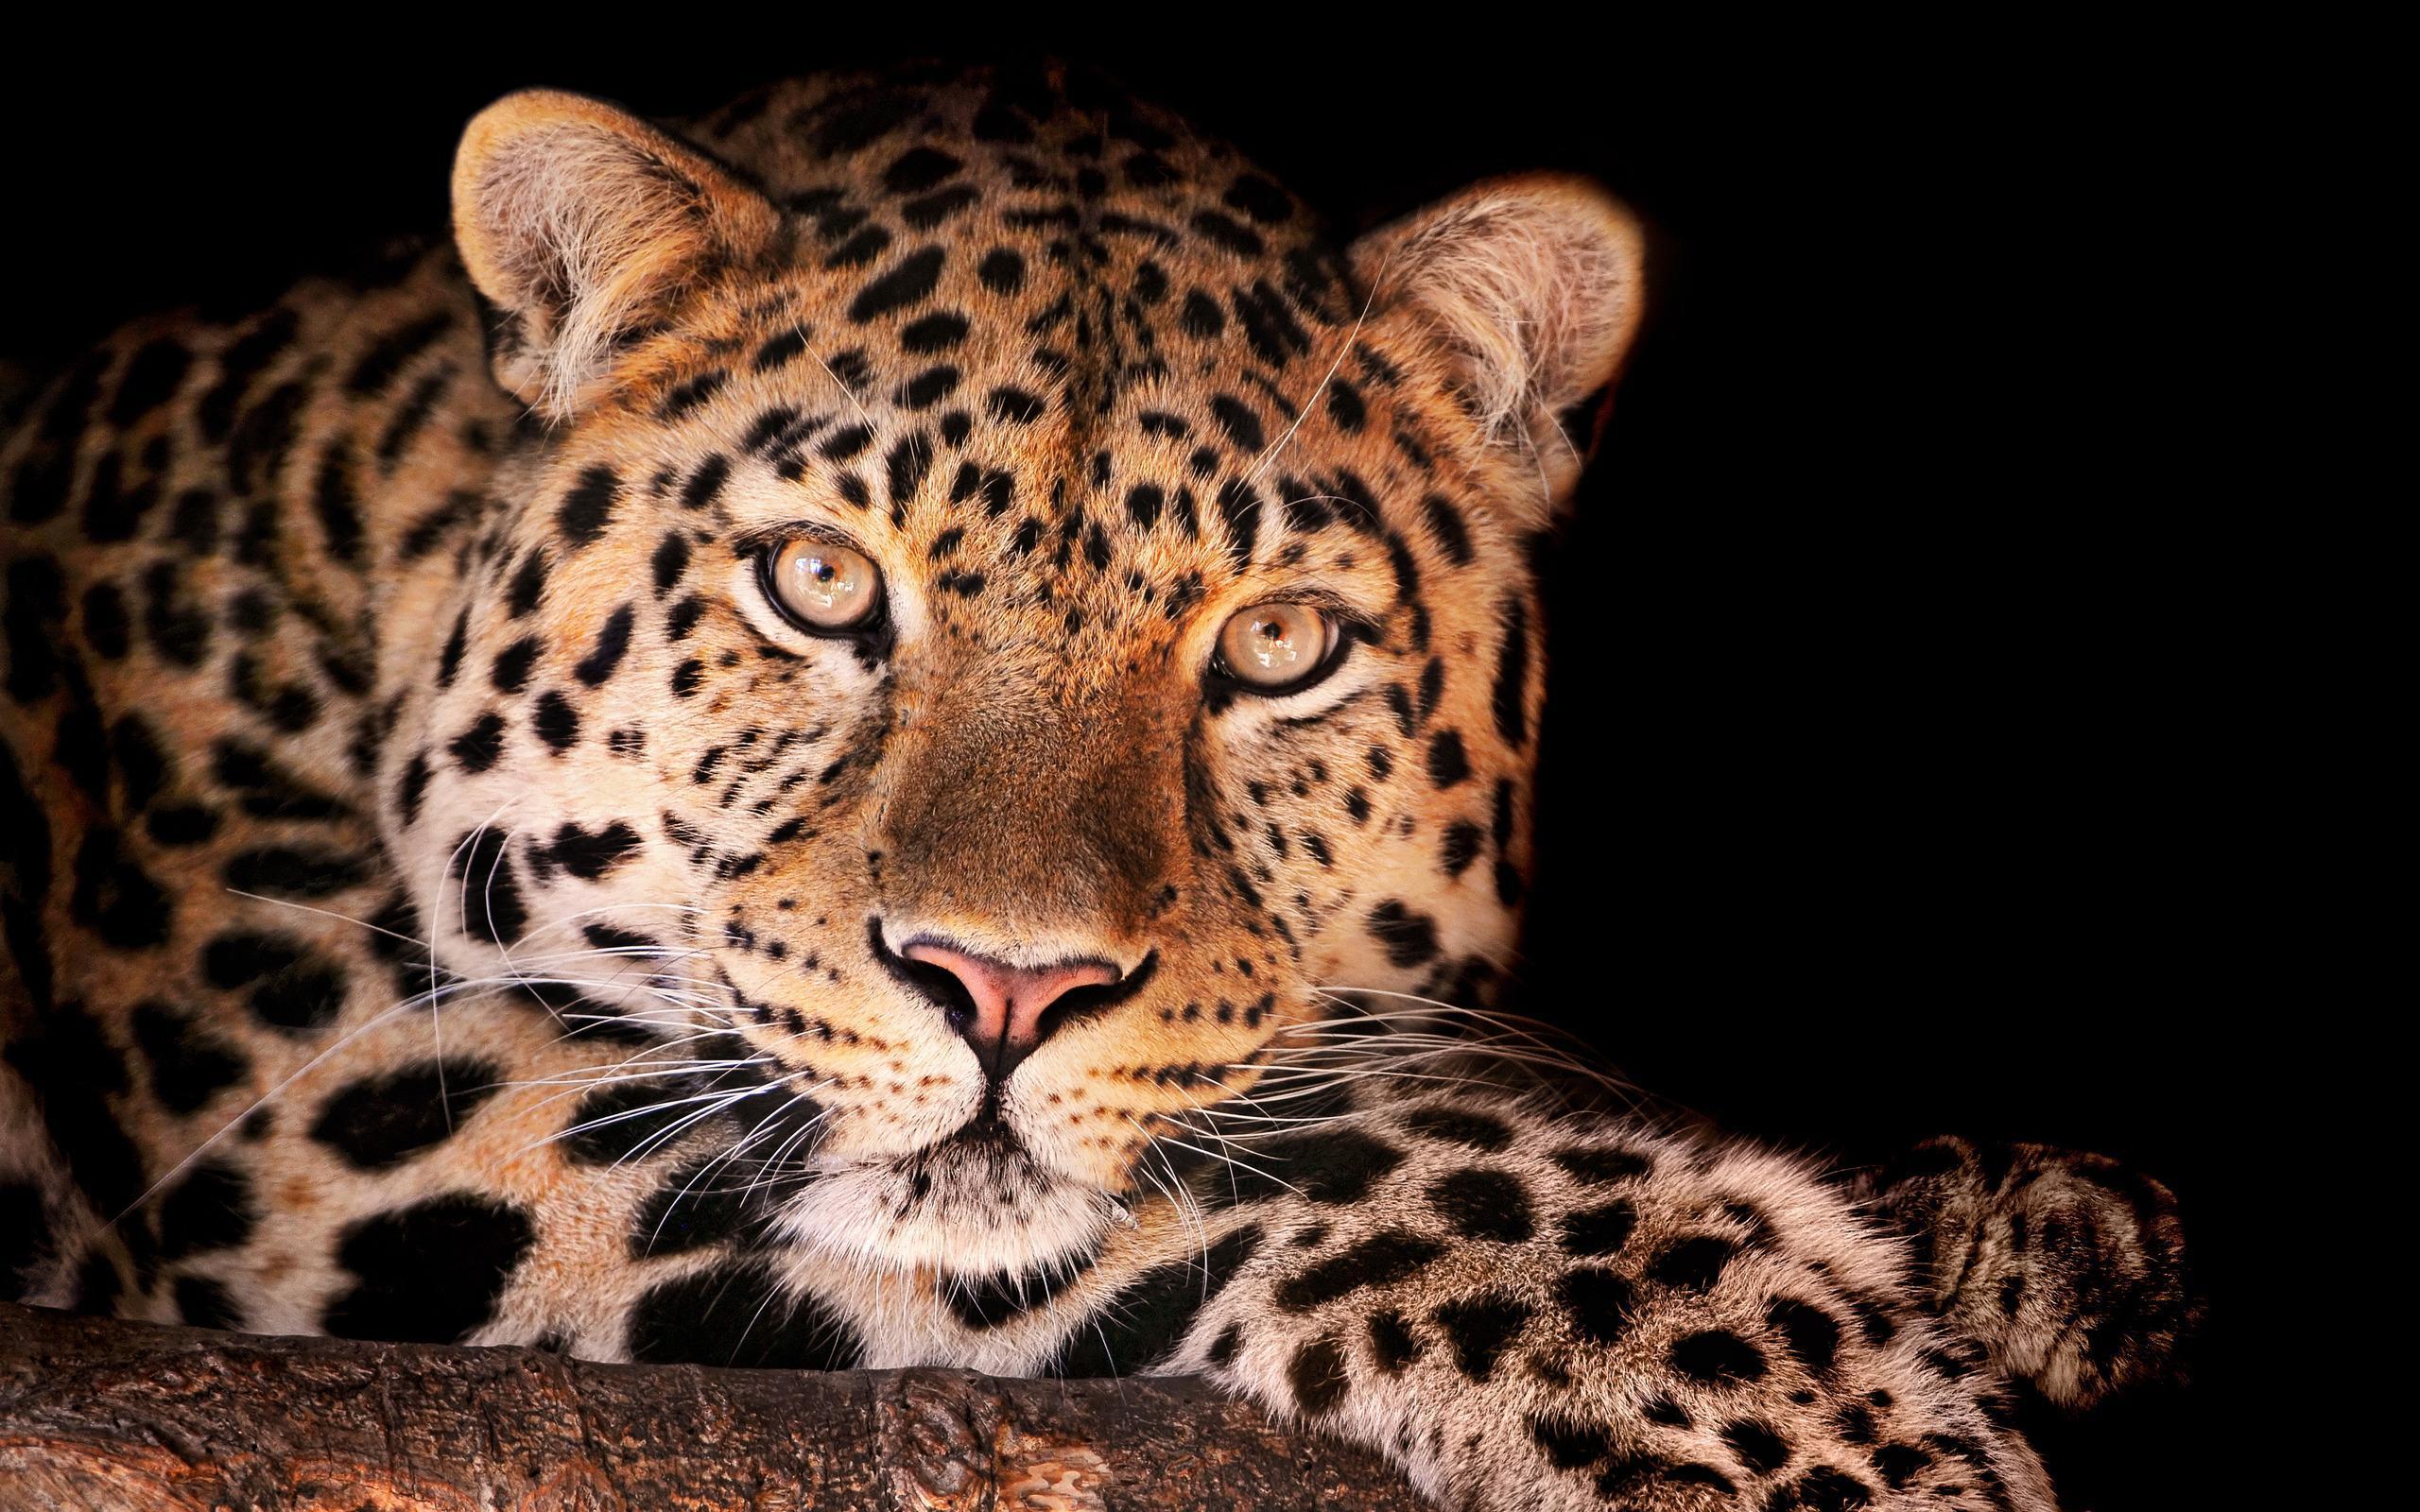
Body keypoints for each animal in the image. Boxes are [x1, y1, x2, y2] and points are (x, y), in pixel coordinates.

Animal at [0, 61, 2193, 1510]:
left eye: (1277, 645)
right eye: (820, 584)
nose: (1005, 988)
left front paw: (2027, 1232)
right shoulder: (343, 1098)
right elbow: (1293, 1151)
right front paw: (1784, 1389)